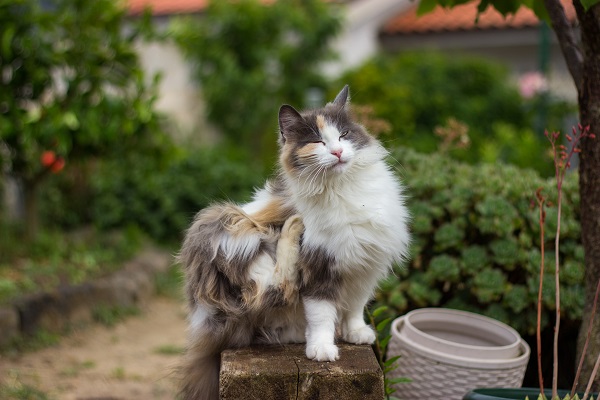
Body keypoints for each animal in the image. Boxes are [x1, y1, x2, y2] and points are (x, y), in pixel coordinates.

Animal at [178, 85, 410, 400]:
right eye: (317, 142)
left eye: (343, 135)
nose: (338, 152)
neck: (342, 189)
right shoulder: (319, 266)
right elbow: (321, 313)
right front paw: (322, 349)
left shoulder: (365, 267)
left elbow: (355, 306)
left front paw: (356, 333)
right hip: (227, 229)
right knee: (273, 289)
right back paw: (293, 227)